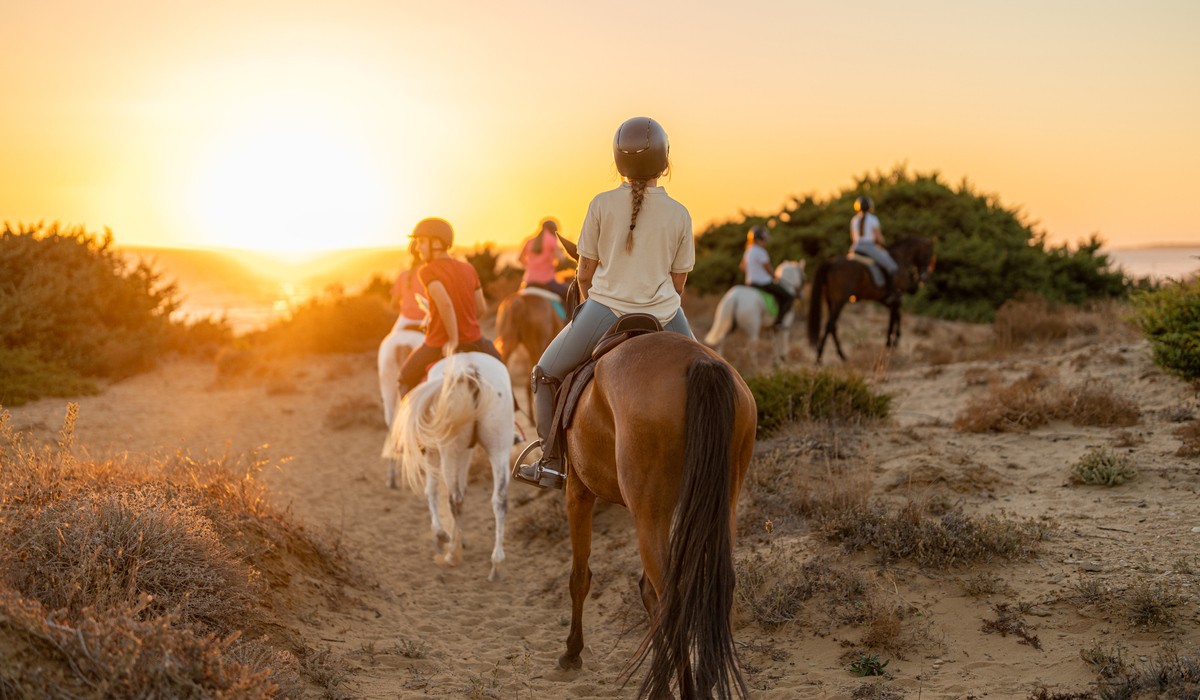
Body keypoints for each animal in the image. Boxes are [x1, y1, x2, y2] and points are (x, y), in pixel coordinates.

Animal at [381, 353, 513, 583]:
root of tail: (470, 370)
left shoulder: (433, 452)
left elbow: (431, 491)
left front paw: (441, 534)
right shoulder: (467, 450)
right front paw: (459, 535)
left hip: (449, 450)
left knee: (455, 498)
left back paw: (452, 554)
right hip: (499, 447)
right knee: (499, 499)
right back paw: (496, 564)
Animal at [806, 236, 936, 365]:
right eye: (928, 254)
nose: (924, 278)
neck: (900, 259)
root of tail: (831, 262)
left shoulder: (886, 300)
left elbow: (896, 316)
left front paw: (892, 341)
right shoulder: (896, 297)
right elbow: (894, 317)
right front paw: (892, 342)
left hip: (830, 300)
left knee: (833, 327)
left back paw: (841, 356)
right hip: (840, 301)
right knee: (830, 325)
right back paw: (819, 357)